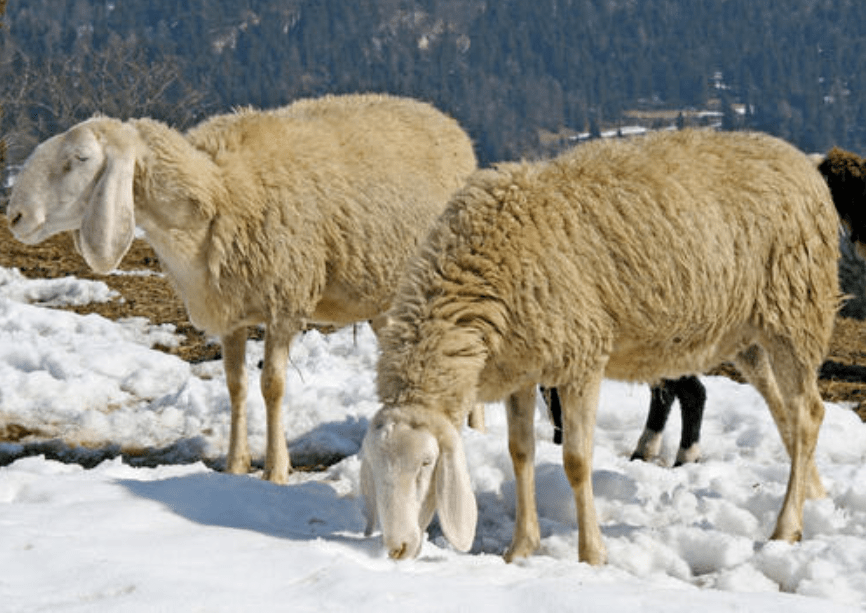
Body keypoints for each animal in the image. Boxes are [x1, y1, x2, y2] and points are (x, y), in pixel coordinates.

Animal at [6, 91, 476, 486]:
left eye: (81, 158)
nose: (14, 215)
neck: (218, 193)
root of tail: (444, 119)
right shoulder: (229, 311)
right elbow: (235, 385)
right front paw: (234, 466)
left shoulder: (285, 301)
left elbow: (272, 385)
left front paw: (276, 469)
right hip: (386, 296)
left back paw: (473, 428)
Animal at [362, 130, 840, 568]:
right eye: (376, 467)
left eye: (427, 464)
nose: (396, 549)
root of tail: (798, 157)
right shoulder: (522, 367)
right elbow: (520, 454)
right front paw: (521, 548)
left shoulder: (581, 358)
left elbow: (575, 461)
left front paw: (591, 554)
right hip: (750, 333)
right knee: (785, 411)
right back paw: (814, 494)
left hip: (795, 309)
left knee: (808, 414)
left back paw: (787, 526)